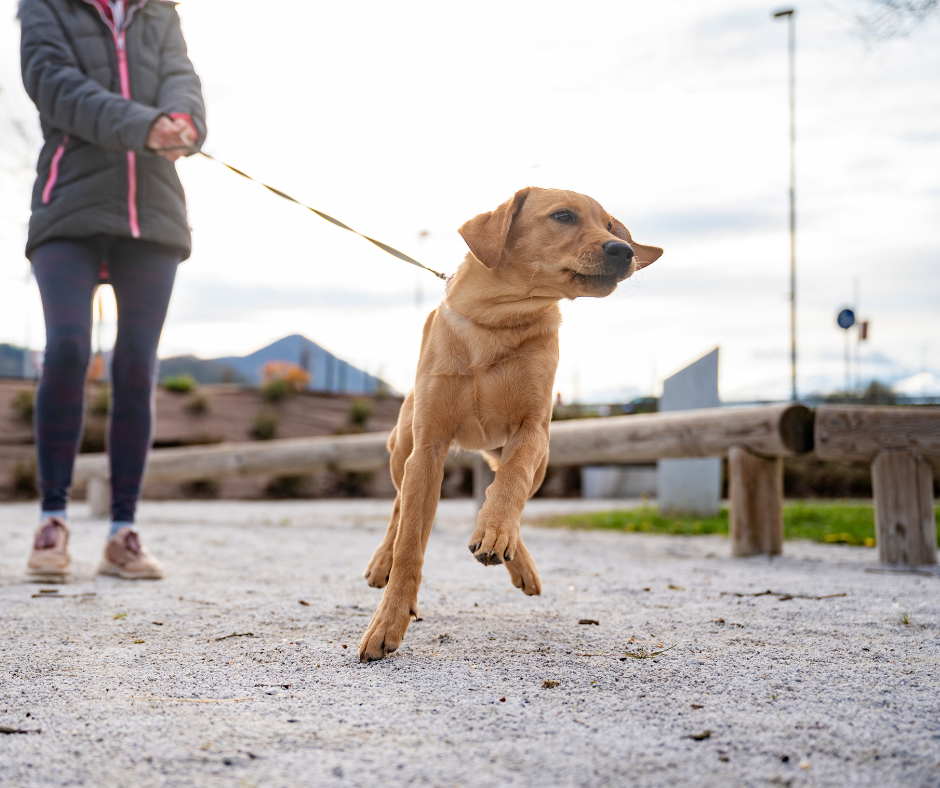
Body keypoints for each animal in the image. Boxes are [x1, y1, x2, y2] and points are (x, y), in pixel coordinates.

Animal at [358, 188, 660, 660]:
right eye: (563, 216)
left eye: (611, 226)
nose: (624, 250)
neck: (497, 321)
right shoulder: (428, 447)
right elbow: (410, 545)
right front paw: (388, 620)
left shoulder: (531, 430)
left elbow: (509, 485)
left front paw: (497, 531)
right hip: (402, 451)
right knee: (399, 505)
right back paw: (383, 562)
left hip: (540, 460)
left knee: (498, 488)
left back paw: (511, 553)